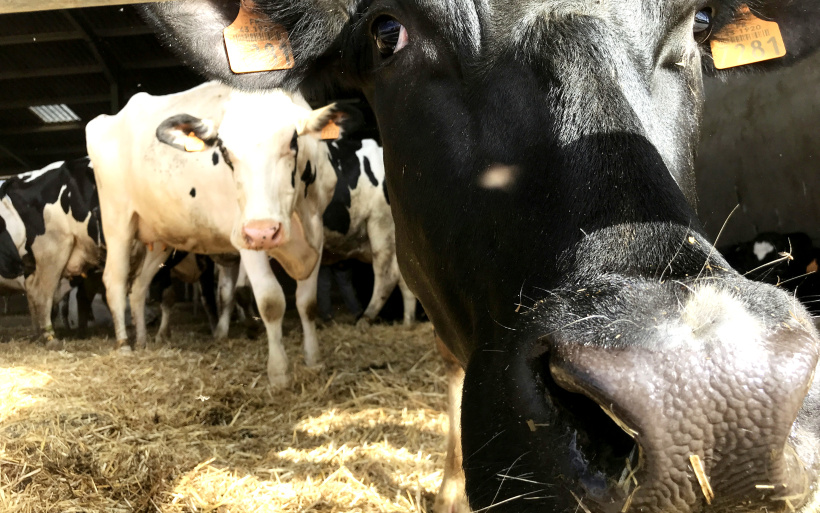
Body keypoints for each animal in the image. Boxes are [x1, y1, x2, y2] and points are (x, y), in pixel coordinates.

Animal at [89, 81, 350, 384]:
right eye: (224, 151)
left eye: (293, 141)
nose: (264, 232)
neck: (297, 215)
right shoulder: (245, 237)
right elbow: (270, 301)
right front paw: (279, 374)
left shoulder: (316, 230)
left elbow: (307, 303)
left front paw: (313, 360)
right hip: (117, 221)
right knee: (115, 281)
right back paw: (124, 345)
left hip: (162, 236)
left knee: (139, 287)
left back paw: (142, 339)